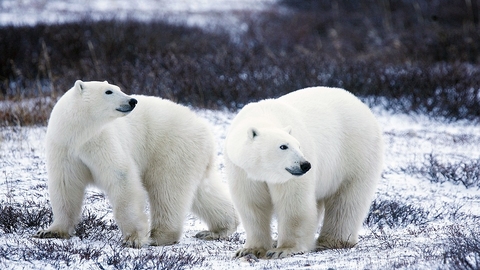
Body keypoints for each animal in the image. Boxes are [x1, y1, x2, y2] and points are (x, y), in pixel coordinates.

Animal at [34, 79, 238, 247]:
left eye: (119, 88)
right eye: (109, 91)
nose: (132, 101)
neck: (79, 133)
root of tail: (206, 129)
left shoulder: (101, 141)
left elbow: (121, 177)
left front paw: (133, 239)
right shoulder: (64, 147)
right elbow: (65, 185)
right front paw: (50, 231)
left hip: (172, 148)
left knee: (167, 189)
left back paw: (159, 236)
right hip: (192, 155)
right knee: (203, 191)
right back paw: (218, 229)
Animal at [223, 87, 384, 260]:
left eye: (298, 145)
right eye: (283, 146)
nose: (305, 165)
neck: (263, 115)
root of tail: (361, 104)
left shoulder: (290, 177)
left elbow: (294, 203)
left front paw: (283, 249)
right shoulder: (242, 171)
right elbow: (252, 204)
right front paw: (250, 250)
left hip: (355, 153)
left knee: (347, 200)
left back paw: (331, 241)